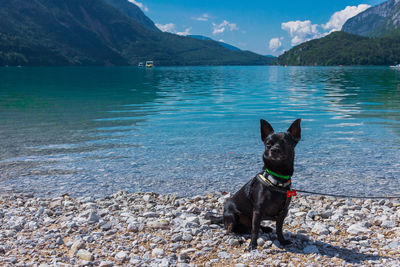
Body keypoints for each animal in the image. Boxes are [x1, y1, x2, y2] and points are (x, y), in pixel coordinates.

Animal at [209, 119, 300, 251]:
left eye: (285, 143)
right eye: (268, 144)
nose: (273, 149)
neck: (277, 179)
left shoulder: (283, 212)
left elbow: (279, 229)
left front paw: (282, 241)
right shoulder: (258, 211)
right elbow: (254, 231)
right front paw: (252, 245)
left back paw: (265, 228)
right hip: (232, 215)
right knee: (231, 230)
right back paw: (237, 236)